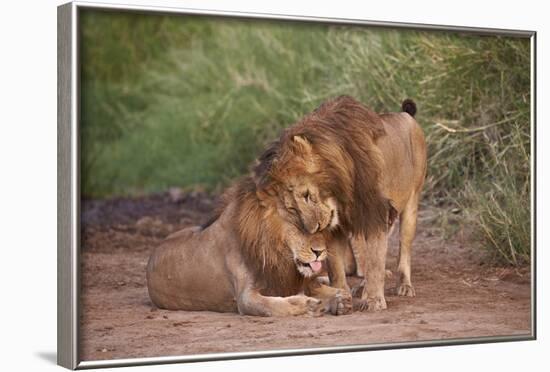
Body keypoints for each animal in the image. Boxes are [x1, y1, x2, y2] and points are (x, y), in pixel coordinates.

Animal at [147, 153, 354, 316]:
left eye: (320, 227)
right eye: (299, 226)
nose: (320, 252)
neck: (274, 250)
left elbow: (322, 289)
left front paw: (339, 300)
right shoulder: (245, 297)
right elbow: (273, 306)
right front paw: (308, 305)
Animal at [256, 96, 430, 310]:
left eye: (306, 195)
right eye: (291, 207)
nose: (313, 228)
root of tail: (405, 115)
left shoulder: (375, 212)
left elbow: (375, 260)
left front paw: (374, 300)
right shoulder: (337, 227)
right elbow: (336, 266)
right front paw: (339, 294)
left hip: (412, 202)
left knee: (403, 248)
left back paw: (404, 286)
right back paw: (361, 288)